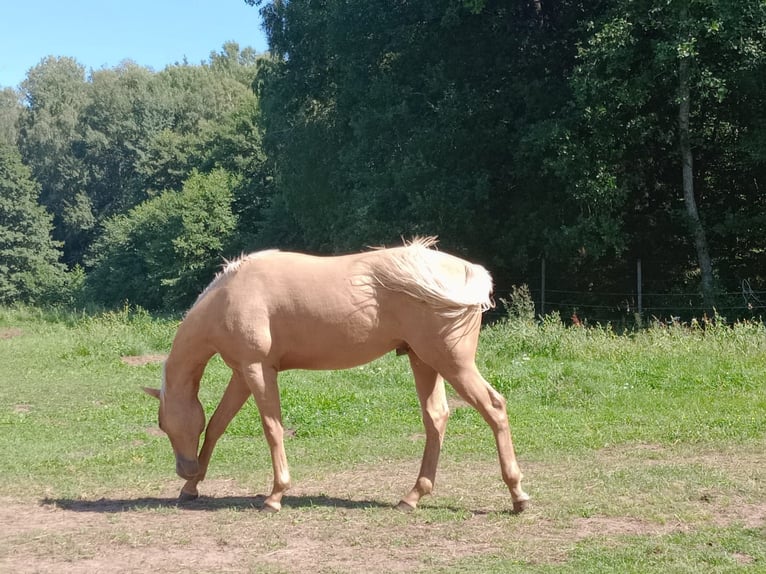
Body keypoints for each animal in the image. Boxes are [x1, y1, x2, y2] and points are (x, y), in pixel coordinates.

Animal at [143, 237, 529, 513]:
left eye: (162, 423)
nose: (185, 469)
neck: (231, 295)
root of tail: (469, 271)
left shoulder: (258, 370)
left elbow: (272, 428)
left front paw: (275, 495)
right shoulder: (241, 373)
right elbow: (217, 425)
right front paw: (191, 488)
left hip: (453, 364)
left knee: (494, 408)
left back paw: (518, 495)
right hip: (424, 362)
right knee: (436, 418)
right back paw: (412, 496)